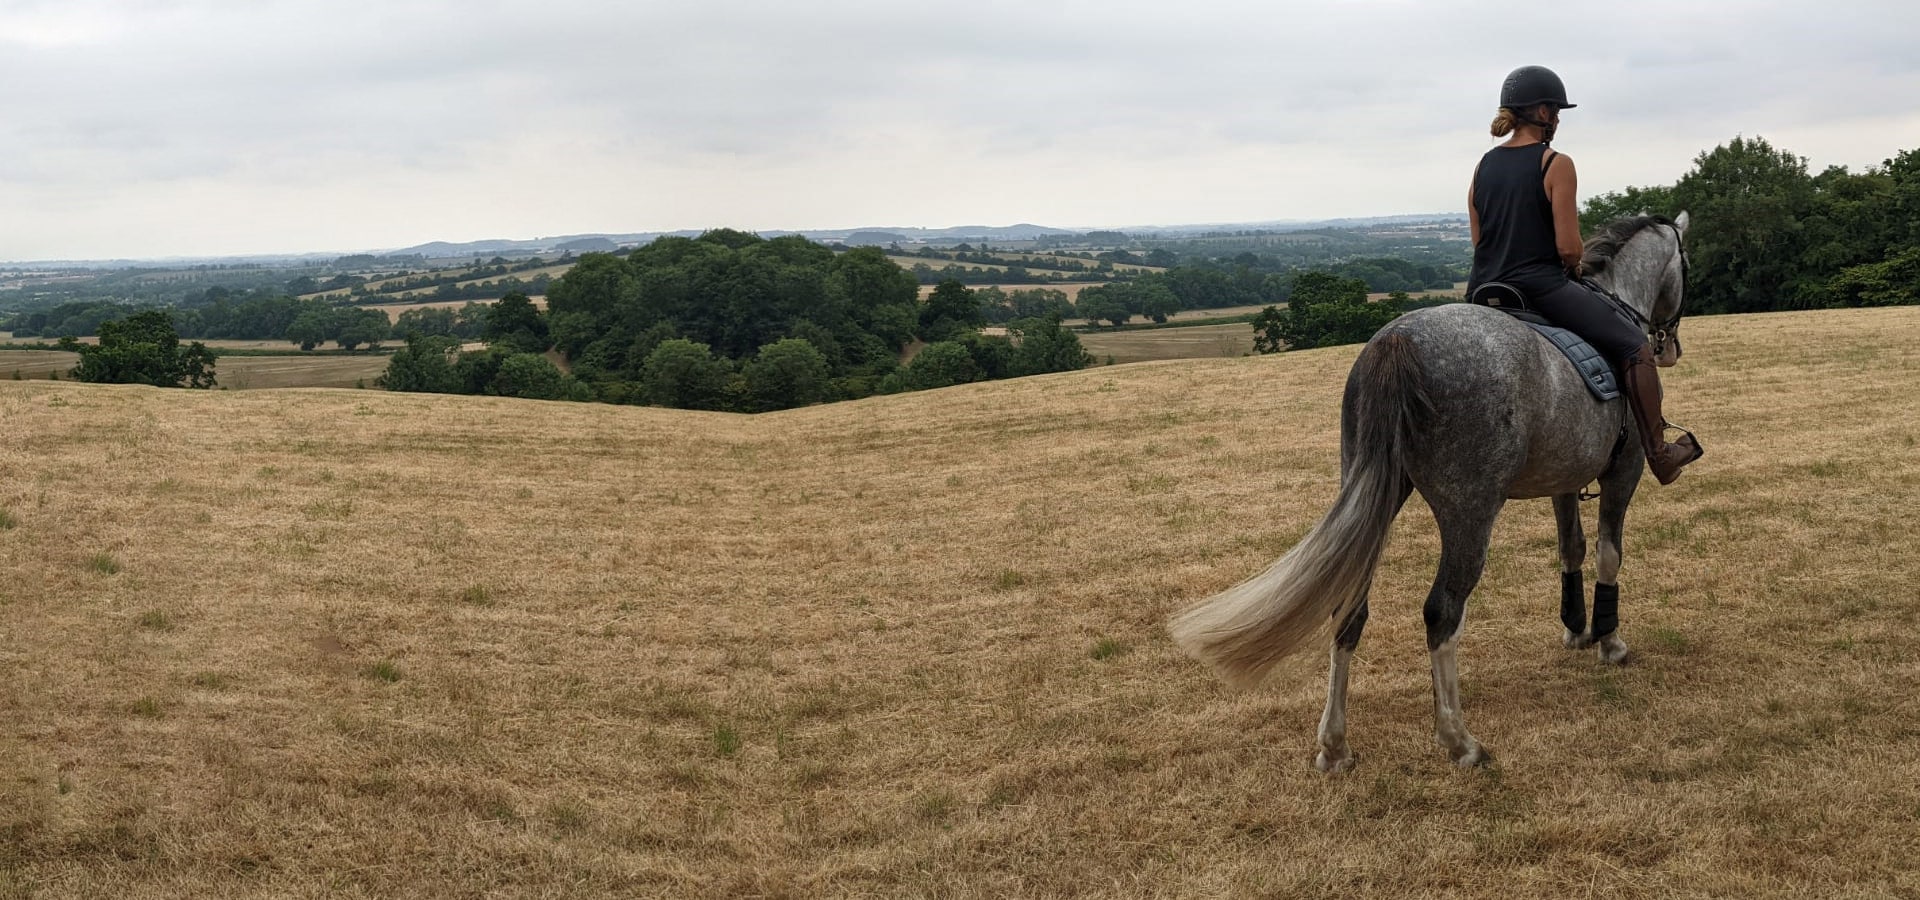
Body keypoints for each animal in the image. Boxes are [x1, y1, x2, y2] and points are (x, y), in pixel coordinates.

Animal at [1167, 213, 1697, 767]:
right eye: (1688, 264)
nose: (1670, 346)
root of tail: (1398, 341)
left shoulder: (1565, 479)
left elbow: (1569, 548)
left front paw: (1576, 628)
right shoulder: (1624, 471)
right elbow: (1608, 553)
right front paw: (1609, 641)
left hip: (1374, 495)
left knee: (1349, 607)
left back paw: (1335, 745)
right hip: (1469, 511)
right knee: (1442, 611)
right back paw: (1459, 740)